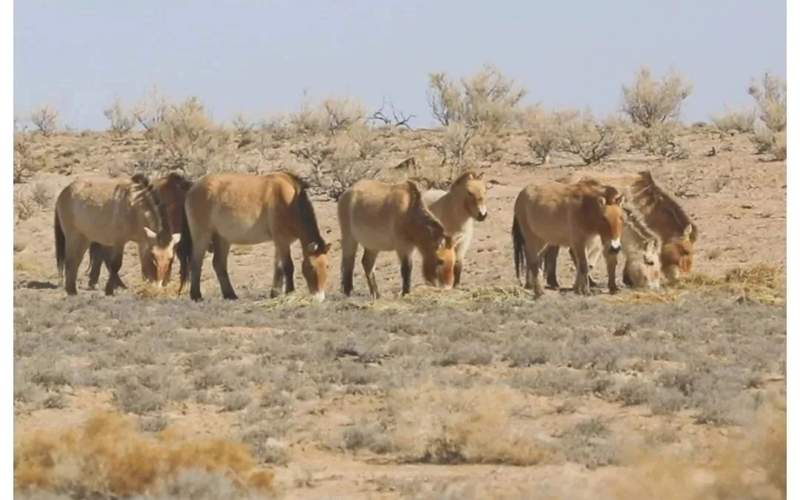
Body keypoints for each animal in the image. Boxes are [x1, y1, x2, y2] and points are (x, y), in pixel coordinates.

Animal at [178, 172, 332, 302]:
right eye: (311, 267)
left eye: (327, 266)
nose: (319, 297)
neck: (290, 201)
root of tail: (192, 188)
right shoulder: (282, 240)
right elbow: (288, 266)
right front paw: (290, 292)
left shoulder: (281, 242)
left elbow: (278, 267)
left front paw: (275, 293)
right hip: (202, 236)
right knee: (196, 263)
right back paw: (196, 296)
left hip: (222, 238)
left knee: (219, 264)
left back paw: (230, 295)